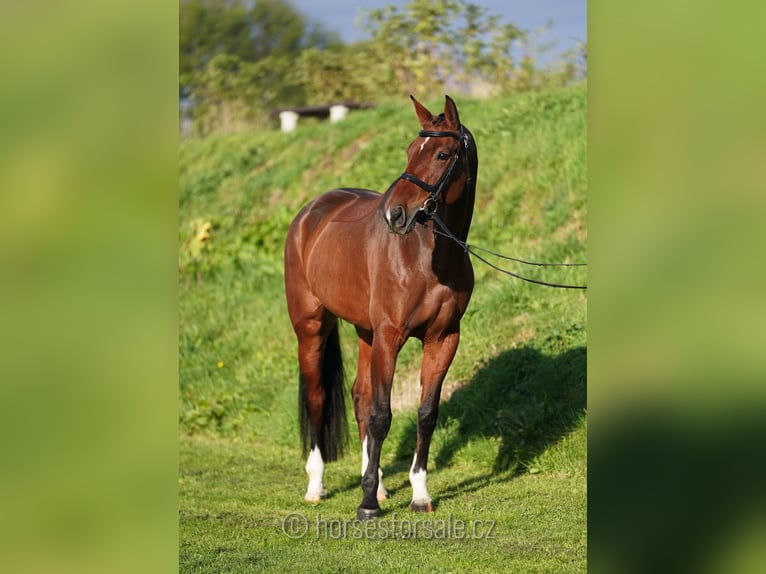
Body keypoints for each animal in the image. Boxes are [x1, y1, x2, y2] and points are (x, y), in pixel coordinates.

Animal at [284, 95, 474, 520]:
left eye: (442, 153)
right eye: (410, 150)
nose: (395, 214)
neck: (429, 258)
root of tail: (310, 212)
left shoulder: (443, 339)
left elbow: (425, 414)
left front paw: (419, 494)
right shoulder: (391, 334)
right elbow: (382, 415)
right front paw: (367, 503)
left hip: (365, 332)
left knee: (359, 396)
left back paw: (382, 485)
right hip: (311, 326)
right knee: (319, 397)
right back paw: (317, 486)